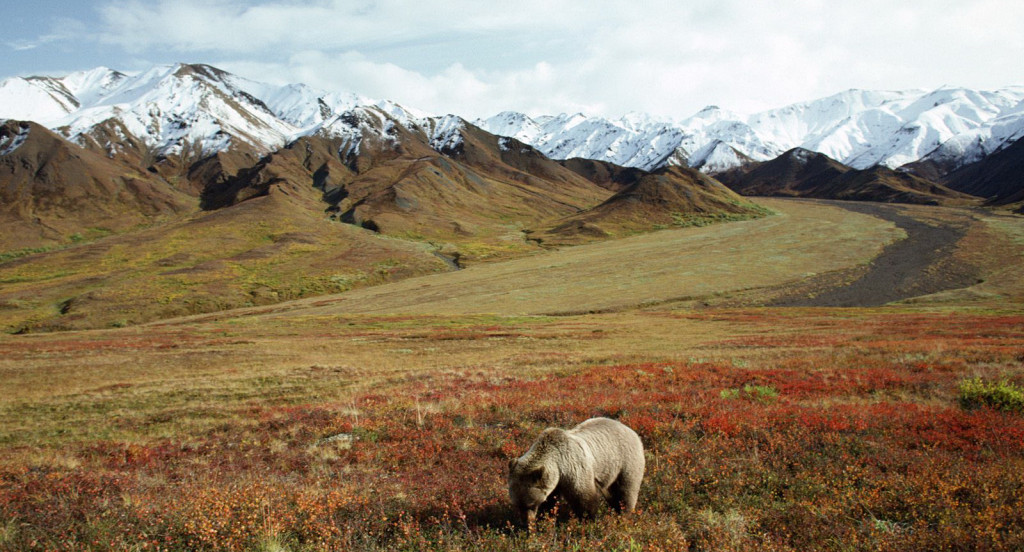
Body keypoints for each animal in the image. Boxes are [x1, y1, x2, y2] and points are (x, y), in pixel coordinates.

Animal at [507, 419, 643, 528]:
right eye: (516, 504)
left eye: (530, 504)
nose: (525, 523)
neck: (559, 466)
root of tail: (630, 430)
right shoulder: (554, 482)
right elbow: (550, 501)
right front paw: (545, 519)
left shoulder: (574, 468)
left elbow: (584, 498)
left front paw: (588, 521)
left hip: (626, 461)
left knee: (627, 490)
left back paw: (624, 514)